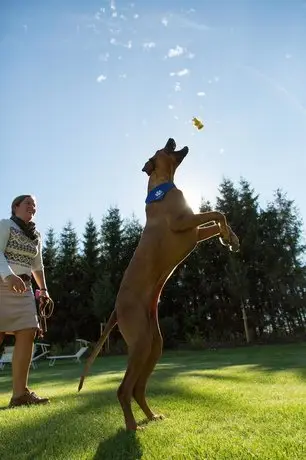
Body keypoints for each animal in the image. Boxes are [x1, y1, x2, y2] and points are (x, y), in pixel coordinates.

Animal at [78, 137, 239, 432]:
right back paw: (133, 427)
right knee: (124, 389)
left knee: (137, 389)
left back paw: (151, 416)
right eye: (161, 149)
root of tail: (117, 309)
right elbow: (216, 212)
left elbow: (217, 220)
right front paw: (227, 234)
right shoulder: (184, 222)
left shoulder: (194, 232)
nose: (171, 139)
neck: (162, 187)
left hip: (154, 344)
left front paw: (229, 237)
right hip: (141, 342)